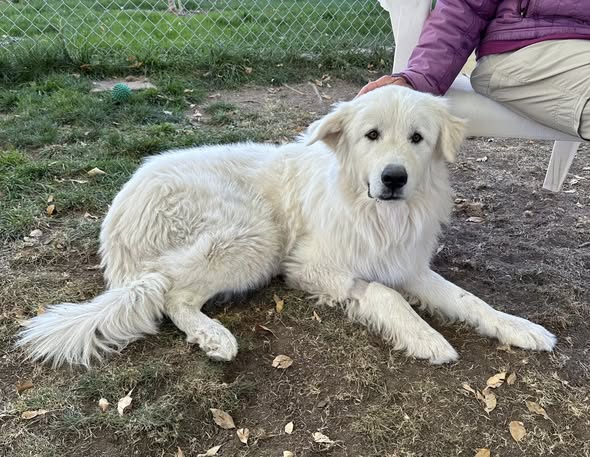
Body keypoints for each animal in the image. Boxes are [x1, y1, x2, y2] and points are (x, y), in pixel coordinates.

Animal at [17, 85, 556, 367]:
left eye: (417, 138)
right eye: (372, 135)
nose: (393, 177)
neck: (374, 213)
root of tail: (119, 213)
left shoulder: (406, 265)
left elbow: (471, 300)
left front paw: (521, 328)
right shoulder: (308, 266)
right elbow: (386, 295)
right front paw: (428, 338)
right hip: (256, 237)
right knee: (172, 296)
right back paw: (215, 338)